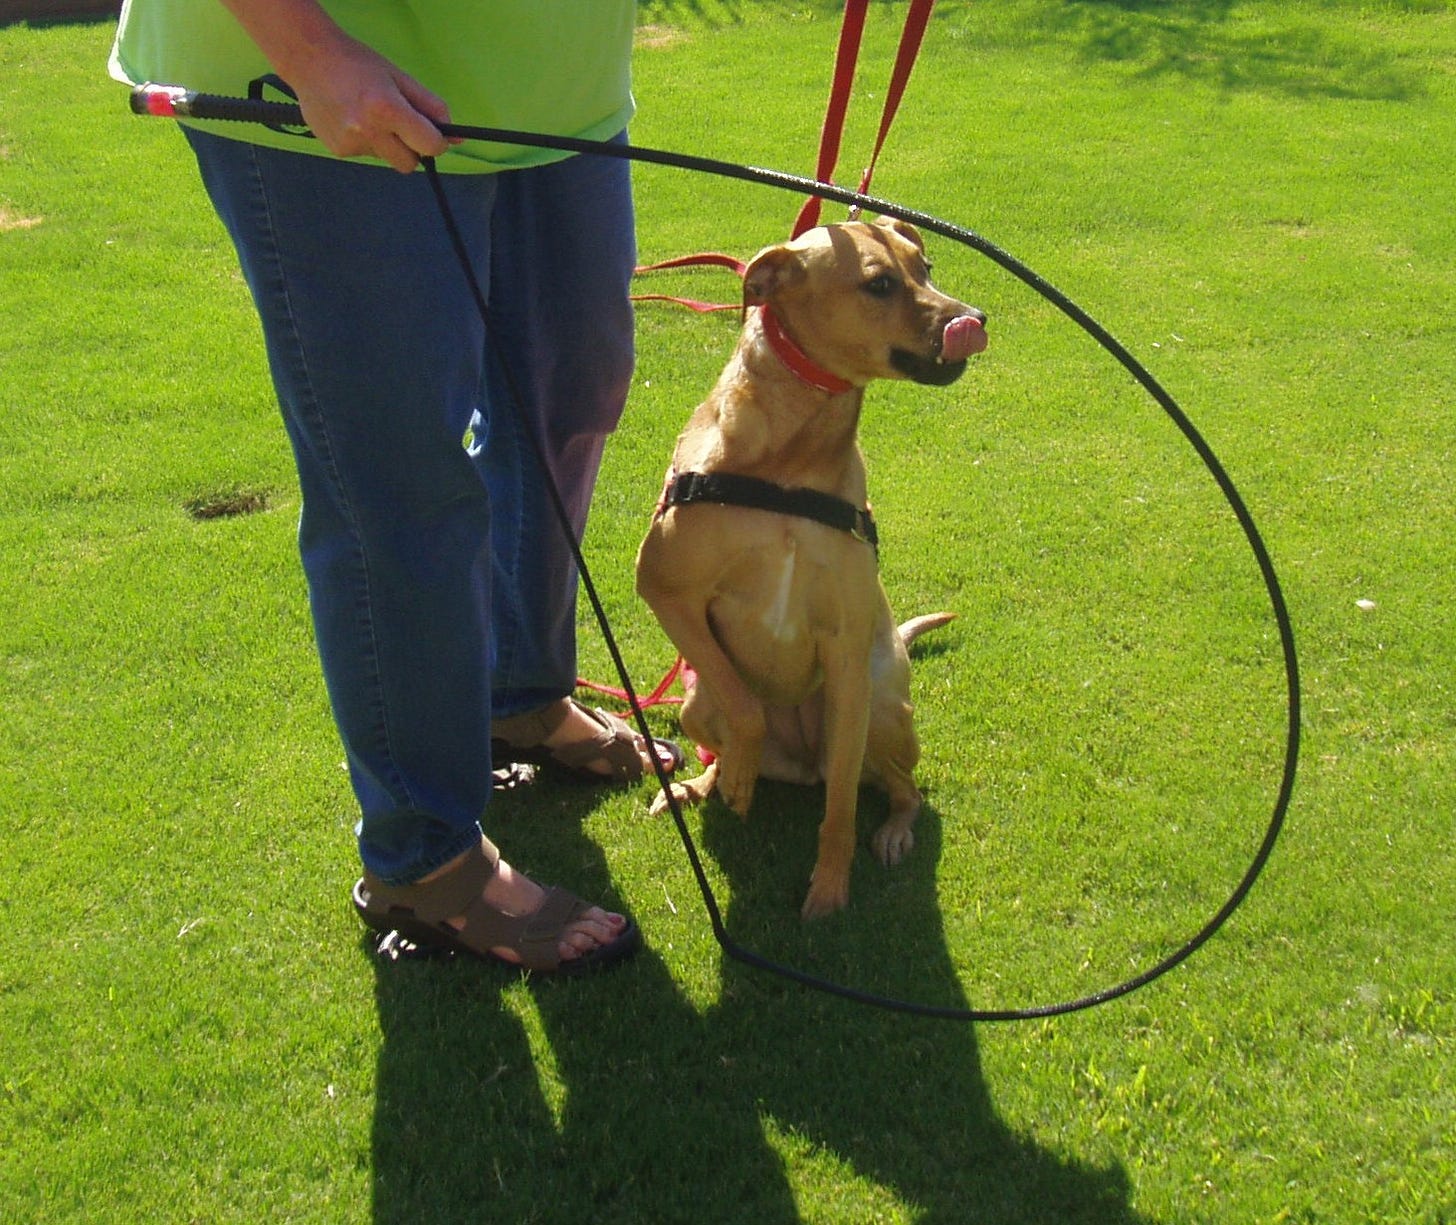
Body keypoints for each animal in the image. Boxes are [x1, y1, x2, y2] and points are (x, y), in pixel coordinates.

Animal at [631, 215, 984, 914]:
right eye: (879, 283)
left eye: (925, 268)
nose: (975, 319)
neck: (790, 461)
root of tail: (798, 765)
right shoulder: (665, 589)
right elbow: (744, 708)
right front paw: (737, 777)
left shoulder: (845, 657)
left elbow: (841, 808)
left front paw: (828, 889)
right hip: (693, 705)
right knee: (721, 736)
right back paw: (702, 784)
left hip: (878, 711)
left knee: (901, 788)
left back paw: (893, 830)